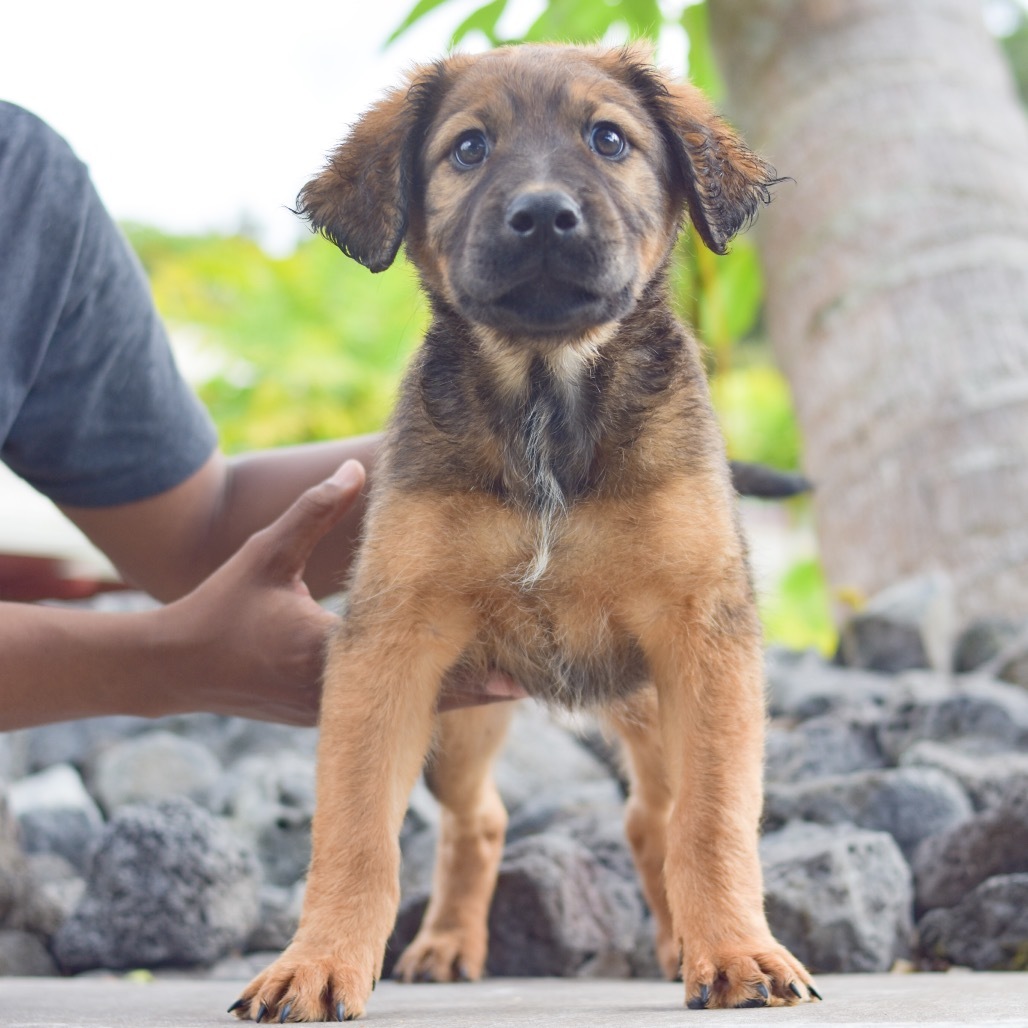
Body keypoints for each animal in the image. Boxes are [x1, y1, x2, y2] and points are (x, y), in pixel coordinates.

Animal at [233, 42, 818, 1019]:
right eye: (469, 149)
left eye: (609, 138)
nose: (543, 214)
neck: (548, 396)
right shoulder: (390, 645)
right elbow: (355, 833)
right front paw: (316, 966)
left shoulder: (705, 639)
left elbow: (713, 823)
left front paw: (738, 953)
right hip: (464, 718)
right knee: (482, 820)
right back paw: (445, 945)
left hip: (651, 707)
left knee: (653, 817)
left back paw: (683, 945)